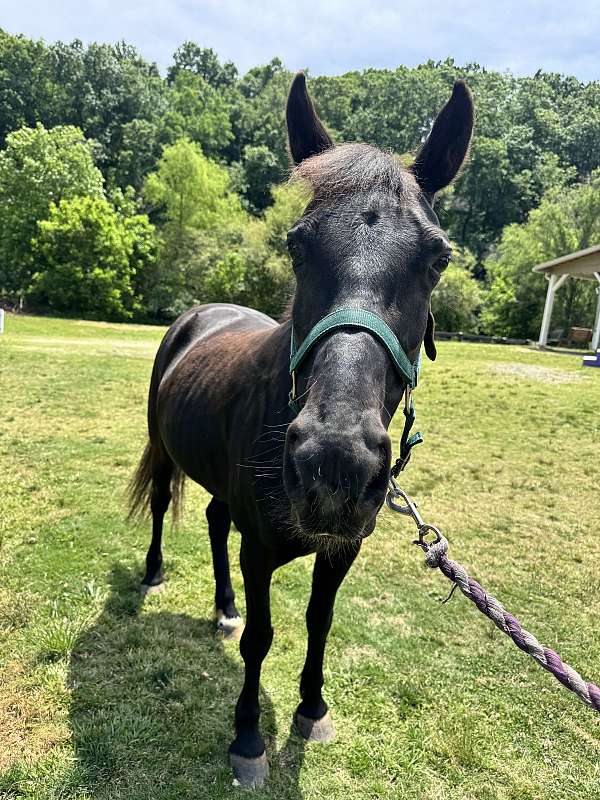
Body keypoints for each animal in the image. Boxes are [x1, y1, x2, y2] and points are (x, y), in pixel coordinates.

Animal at [129, 72, 474, 788]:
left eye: (437, 258)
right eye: (296, 245)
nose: (333, 465)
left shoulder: (343, 548)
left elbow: (320, 620)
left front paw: (311, 708)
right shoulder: (260, 549)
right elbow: (263, 637)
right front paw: (247, 737)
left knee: (213, 519)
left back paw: (223, 606)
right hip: (163, 449)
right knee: (163, 506)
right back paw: (154, 574)